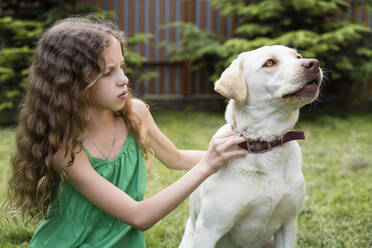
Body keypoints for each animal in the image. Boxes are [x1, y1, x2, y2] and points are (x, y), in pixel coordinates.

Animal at [179, 45, 322, 248]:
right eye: (269, 62)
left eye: (298, 56)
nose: (313, 63)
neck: (265, 144)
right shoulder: (209, 230)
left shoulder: (288, 224)